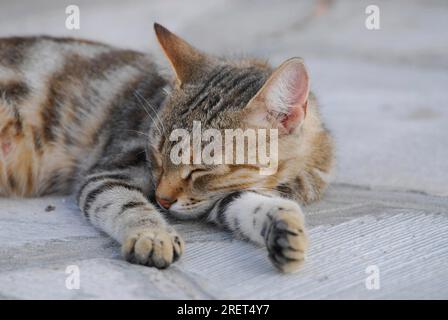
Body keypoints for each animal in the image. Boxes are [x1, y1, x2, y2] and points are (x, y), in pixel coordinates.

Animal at [0, 23, 334, 272]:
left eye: (201, 169)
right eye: (156, 154)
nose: (162, 200)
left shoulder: (217, 198)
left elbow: (249, 205)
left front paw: (282, 226)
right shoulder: (108, 171)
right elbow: (126, 203)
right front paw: (152, 234)